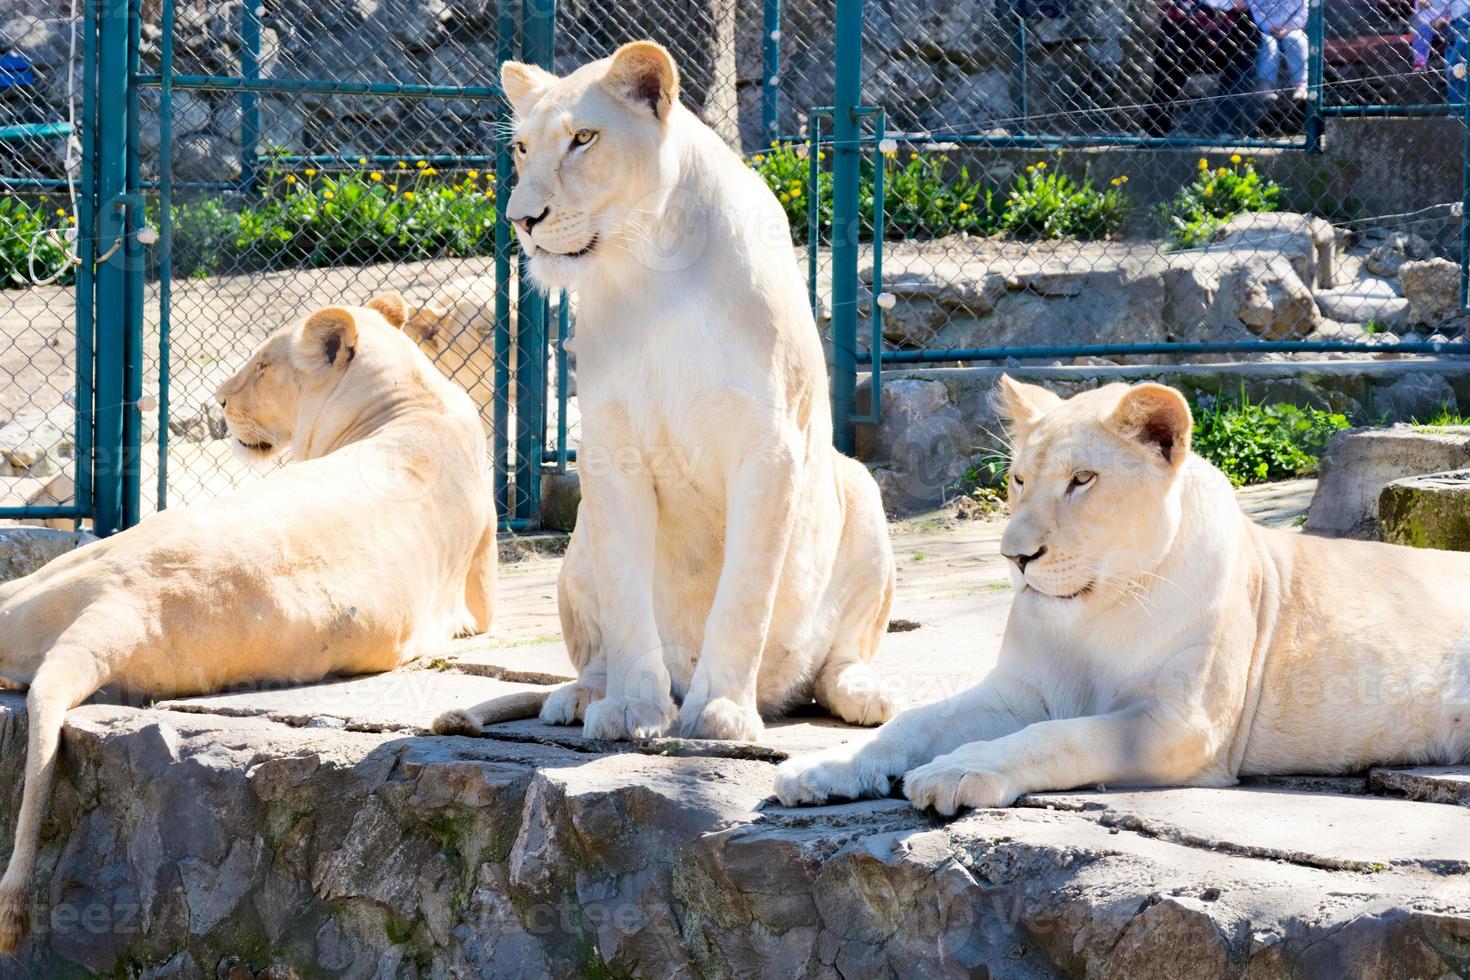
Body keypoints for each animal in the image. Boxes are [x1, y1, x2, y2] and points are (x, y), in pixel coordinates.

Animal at [776, 379, 1464, 816]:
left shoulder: (1181, 724)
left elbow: (1059, 738)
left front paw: (956, 771)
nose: (1014, 556)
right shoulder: (1017, 693)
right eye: (1017, 479)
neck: (1091, 615)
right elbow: (915, 722)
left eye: (1082, 479)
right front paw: (823, 768)